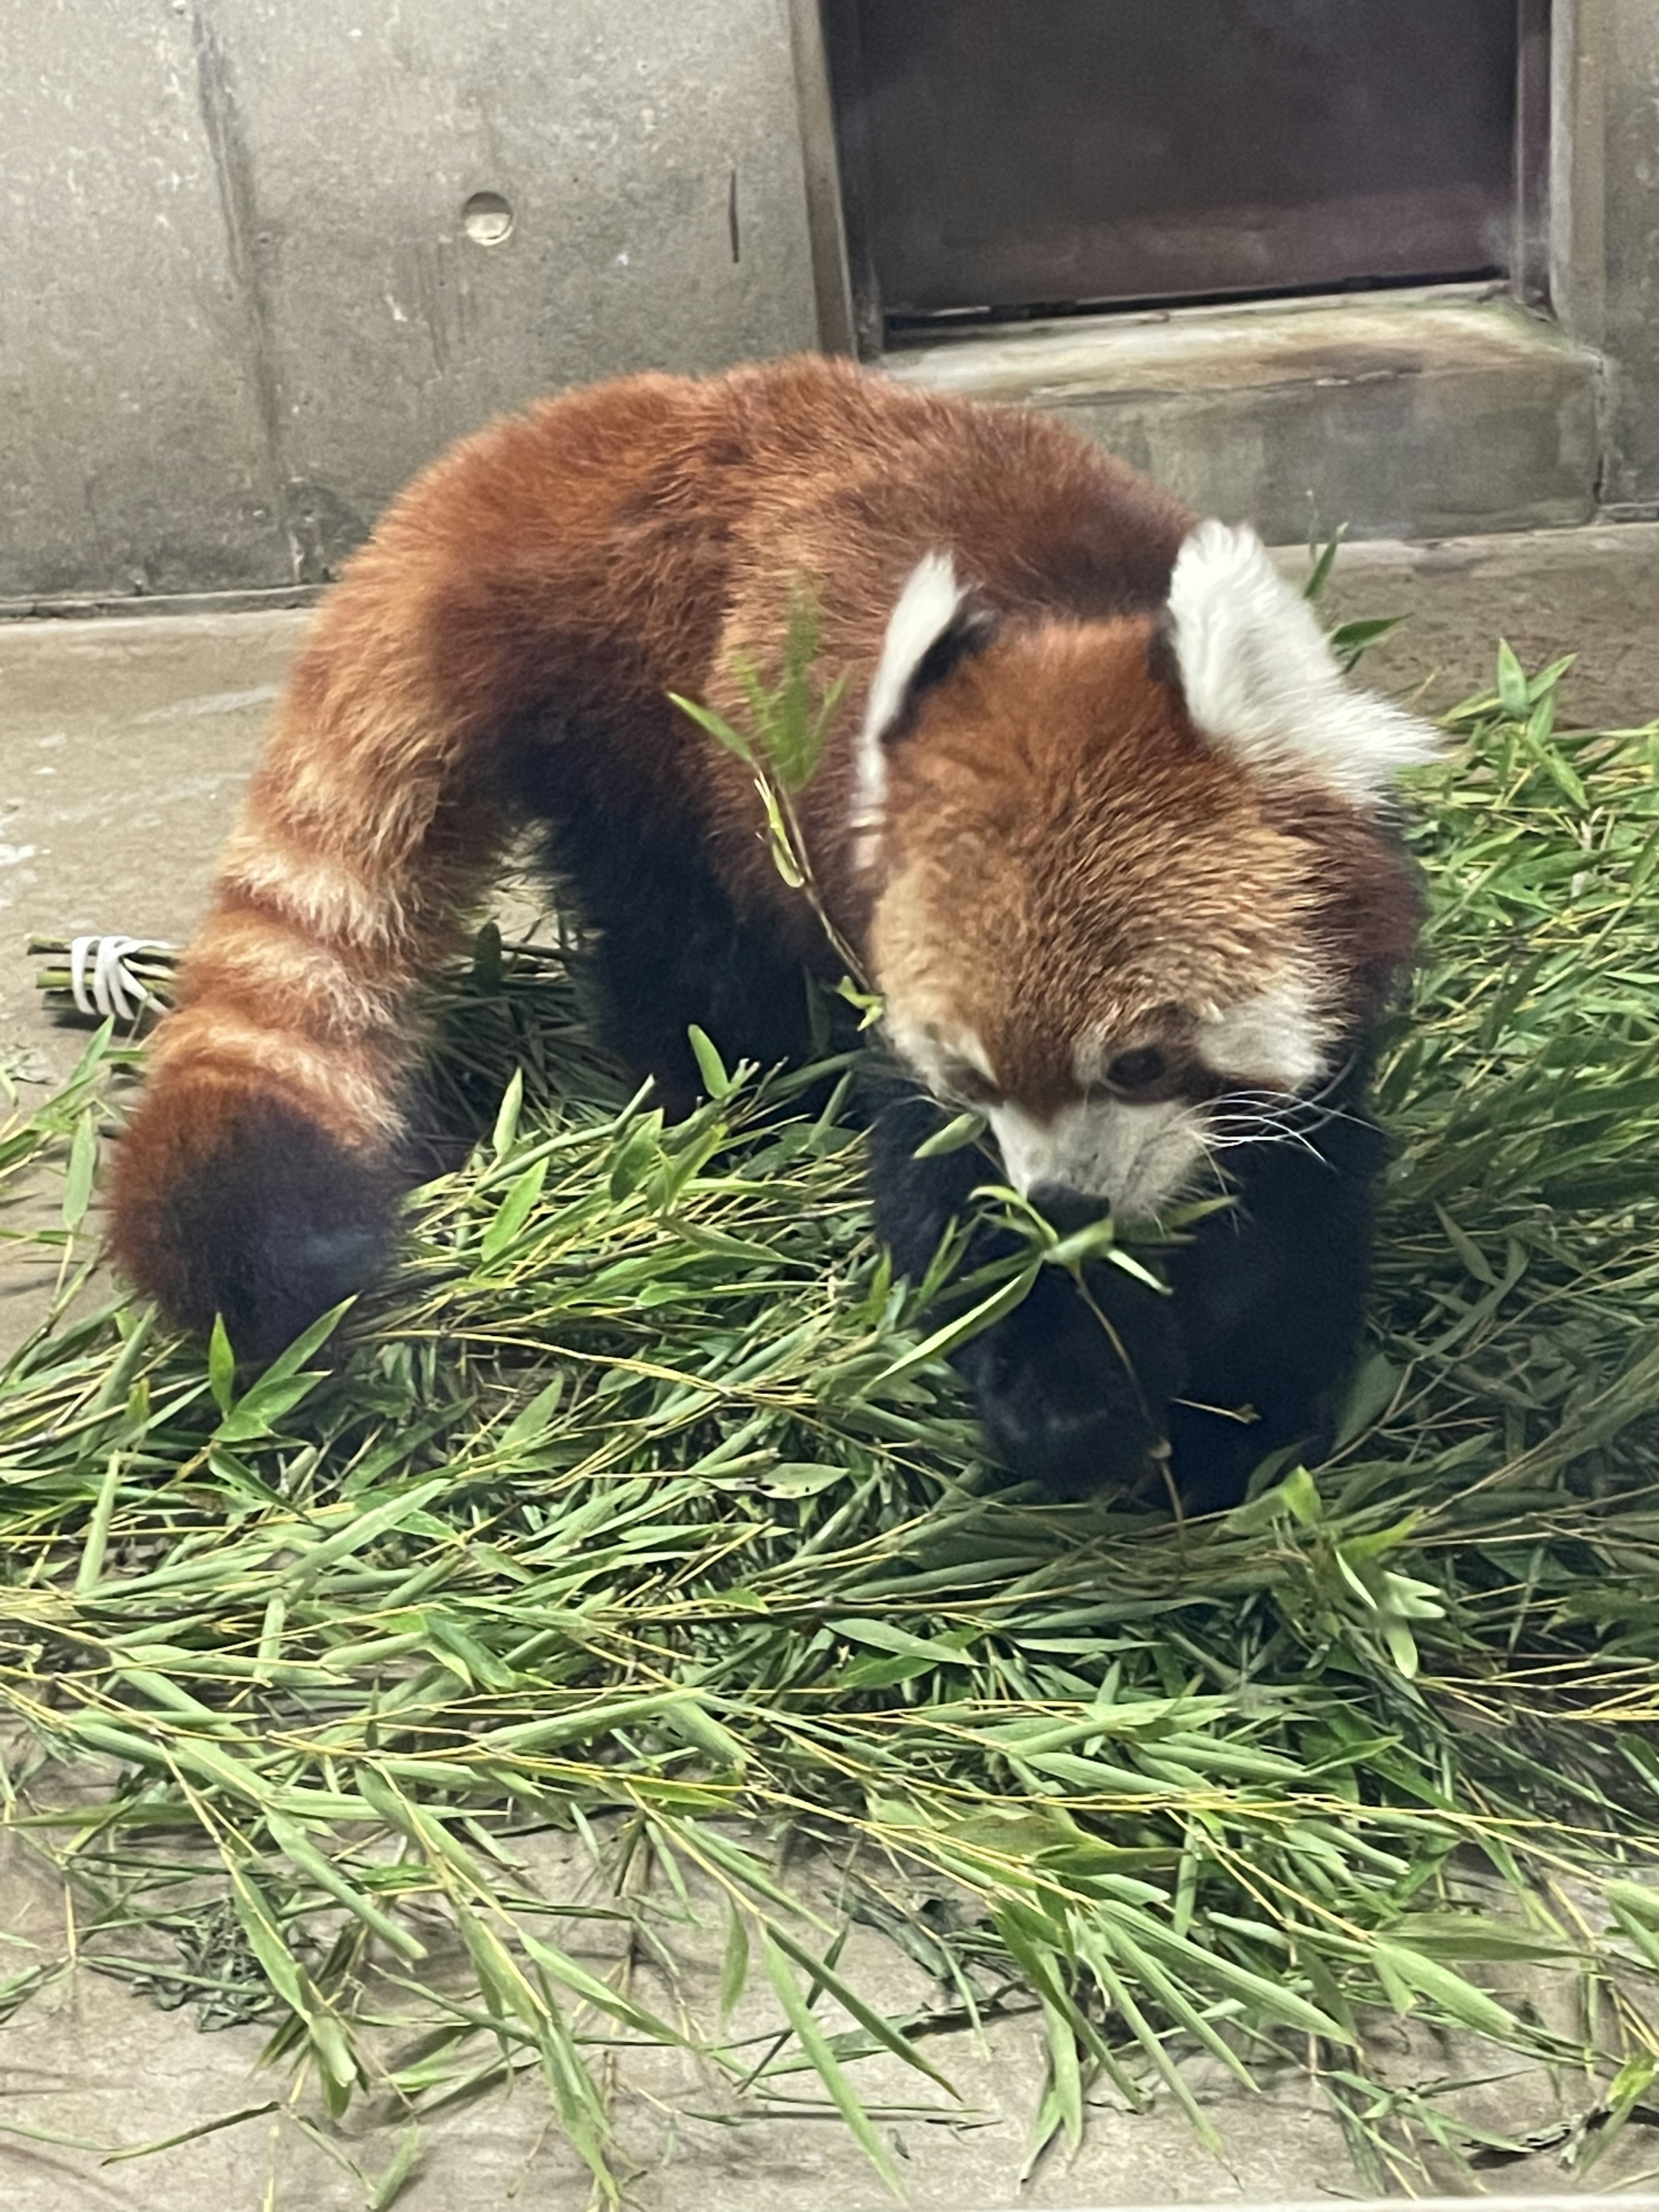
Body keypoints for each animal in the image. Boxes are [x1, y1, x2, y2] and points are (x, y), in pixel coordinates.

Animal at [111, 358, 1433, 1504]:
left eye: (1143, 1061)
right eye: (972, 1074)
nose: (1061, 1203)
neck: (1077, 620)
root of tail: (554, 447)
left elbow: (1292, 1210)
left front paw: (1241, 1426)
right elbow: (947, 1205)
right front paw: (1073, 1402)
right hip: (643, 739)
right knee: (682, 957)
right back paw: (727, 1103)